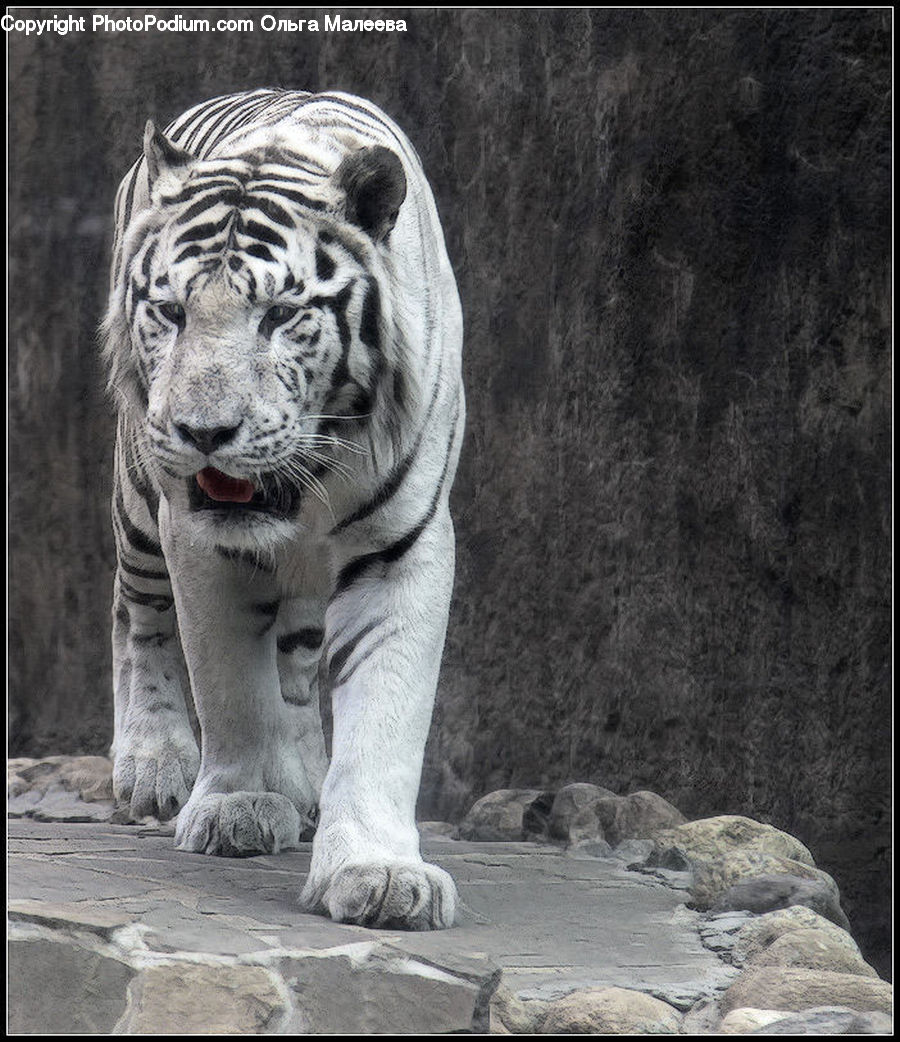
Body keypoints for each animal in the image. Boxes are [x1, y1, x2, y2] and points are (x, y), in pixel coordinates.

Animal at [101, 89, 464, 930]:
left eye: (278, 316)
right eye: (171, 312)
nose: (204, 432)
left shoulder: (402, 548)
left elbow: (383, 714)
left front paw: (379, 872)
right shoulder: (197, 538)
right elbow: (231, 683)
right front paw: (238, 805)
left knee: (296, 660)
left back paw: (301, 777)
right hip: (138, 492)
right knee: (137, 611)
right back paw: (153, 761)